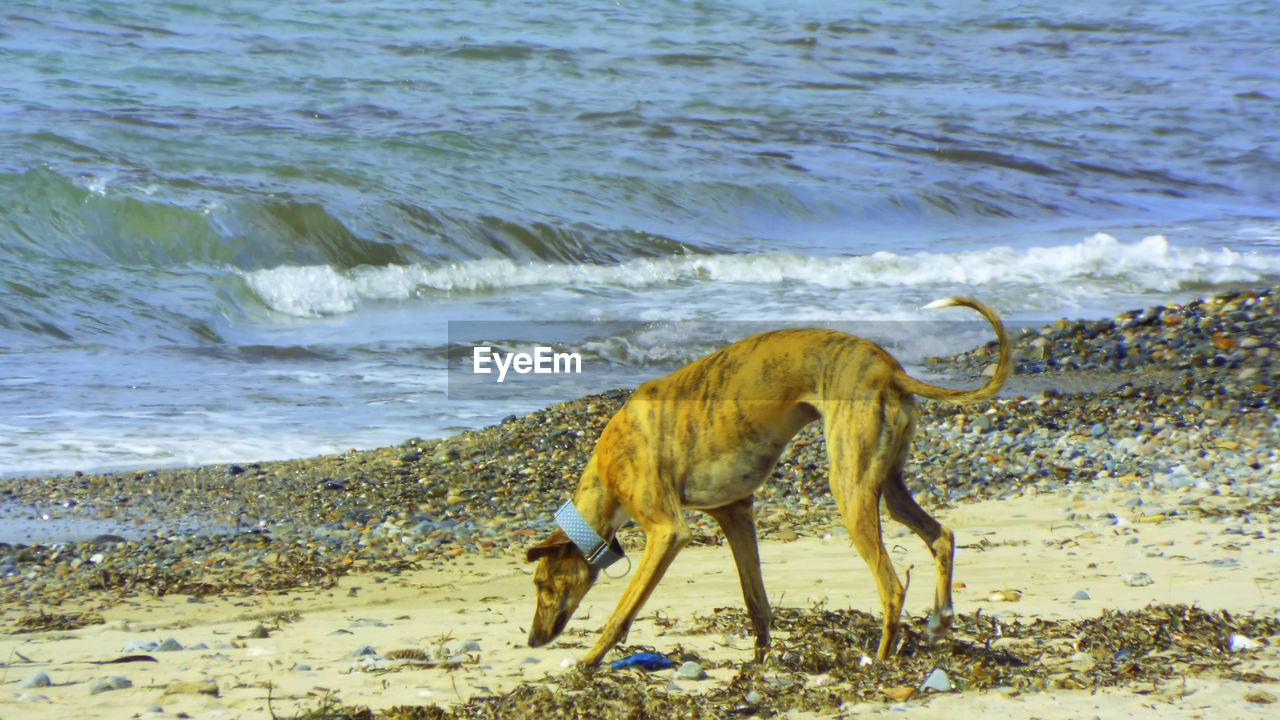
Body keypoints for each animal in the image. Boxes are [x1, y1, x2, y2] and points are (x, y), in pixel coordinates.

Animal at [522, 294, 1008, 666]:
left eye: (542, 584)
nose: (532, 640)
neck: (608, 469)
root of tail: (889, 368)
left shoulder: (667, 531)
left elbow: (624, 609)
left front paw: (588, 662)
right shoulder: (734, 513)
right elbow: (755, 601)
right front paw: (758, 662)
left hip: (849, 487)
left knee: (891, 586)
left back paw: (879, 660)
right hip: (888, 485)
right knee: (941, 536)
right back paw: (940, 621)